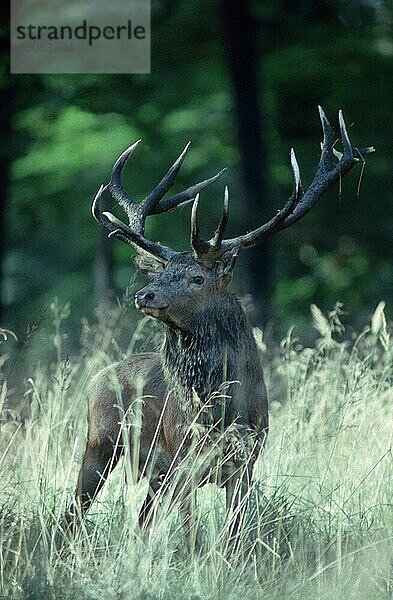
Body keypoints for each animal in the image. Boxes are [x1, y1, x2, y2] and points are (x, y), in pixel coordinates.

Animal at [59, 108, 372, 544]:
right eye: (163, 271)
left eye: (197, 278)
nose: (145, 295)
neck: (223, 415)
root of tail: (97, 376)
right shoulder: (183, 461)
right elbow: (192, 537)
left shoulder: (246, 462)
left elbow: (234, 533)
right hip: (100, 443)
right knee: (72, 515)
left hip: (151, 473)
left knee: (139, 520)